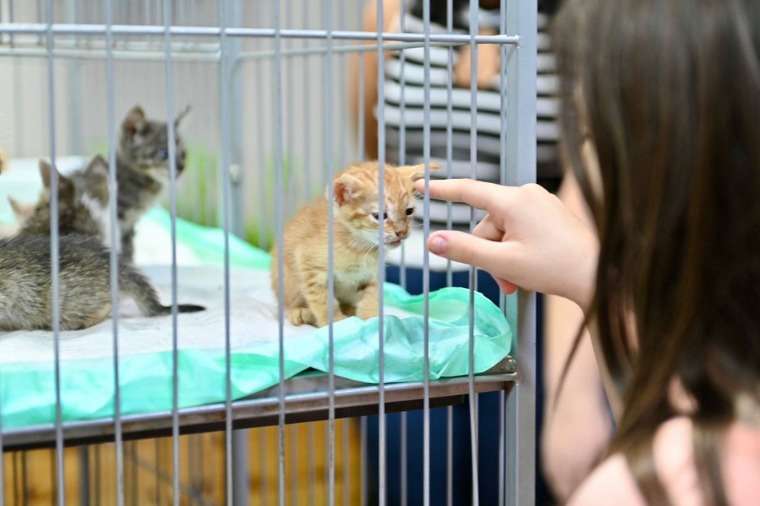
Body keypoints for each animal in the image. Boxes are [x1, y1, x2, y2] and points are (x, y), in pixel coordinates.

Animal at [274, 162, 440, 328]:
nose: (402, 232)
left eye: (409, 211)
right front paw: (336, 323)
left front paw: (371, 320)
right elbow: (324, 301)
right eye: (380, 216)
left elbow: (371, 297)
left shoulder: (372, 275)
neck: (358, 246)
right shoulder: (310, 266)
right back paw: (300, 312)